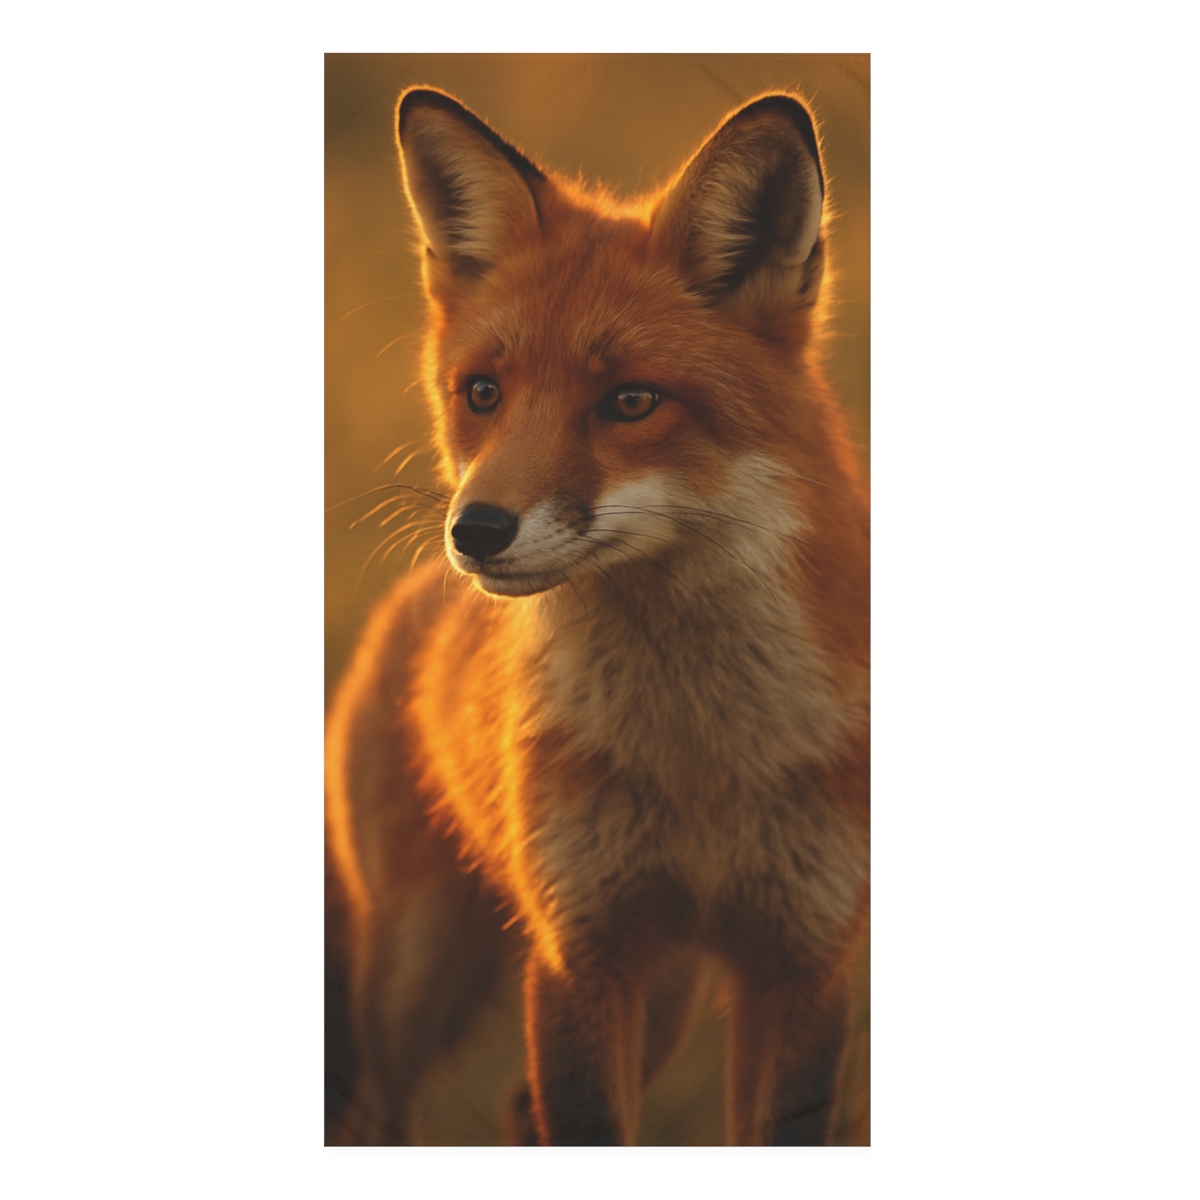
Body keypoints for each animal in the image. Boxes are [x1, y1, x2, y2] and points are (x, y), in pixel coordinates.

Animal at [326, 86, 870, 1146]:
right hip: (414, 976)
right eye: (482, 392)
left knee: (513, 1104)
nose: (475, 531)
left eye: (630, 401)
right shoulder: (580, 949)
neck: (700, 757)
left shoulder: (805, 957)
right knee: (383, 1113)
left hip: (663, 996)